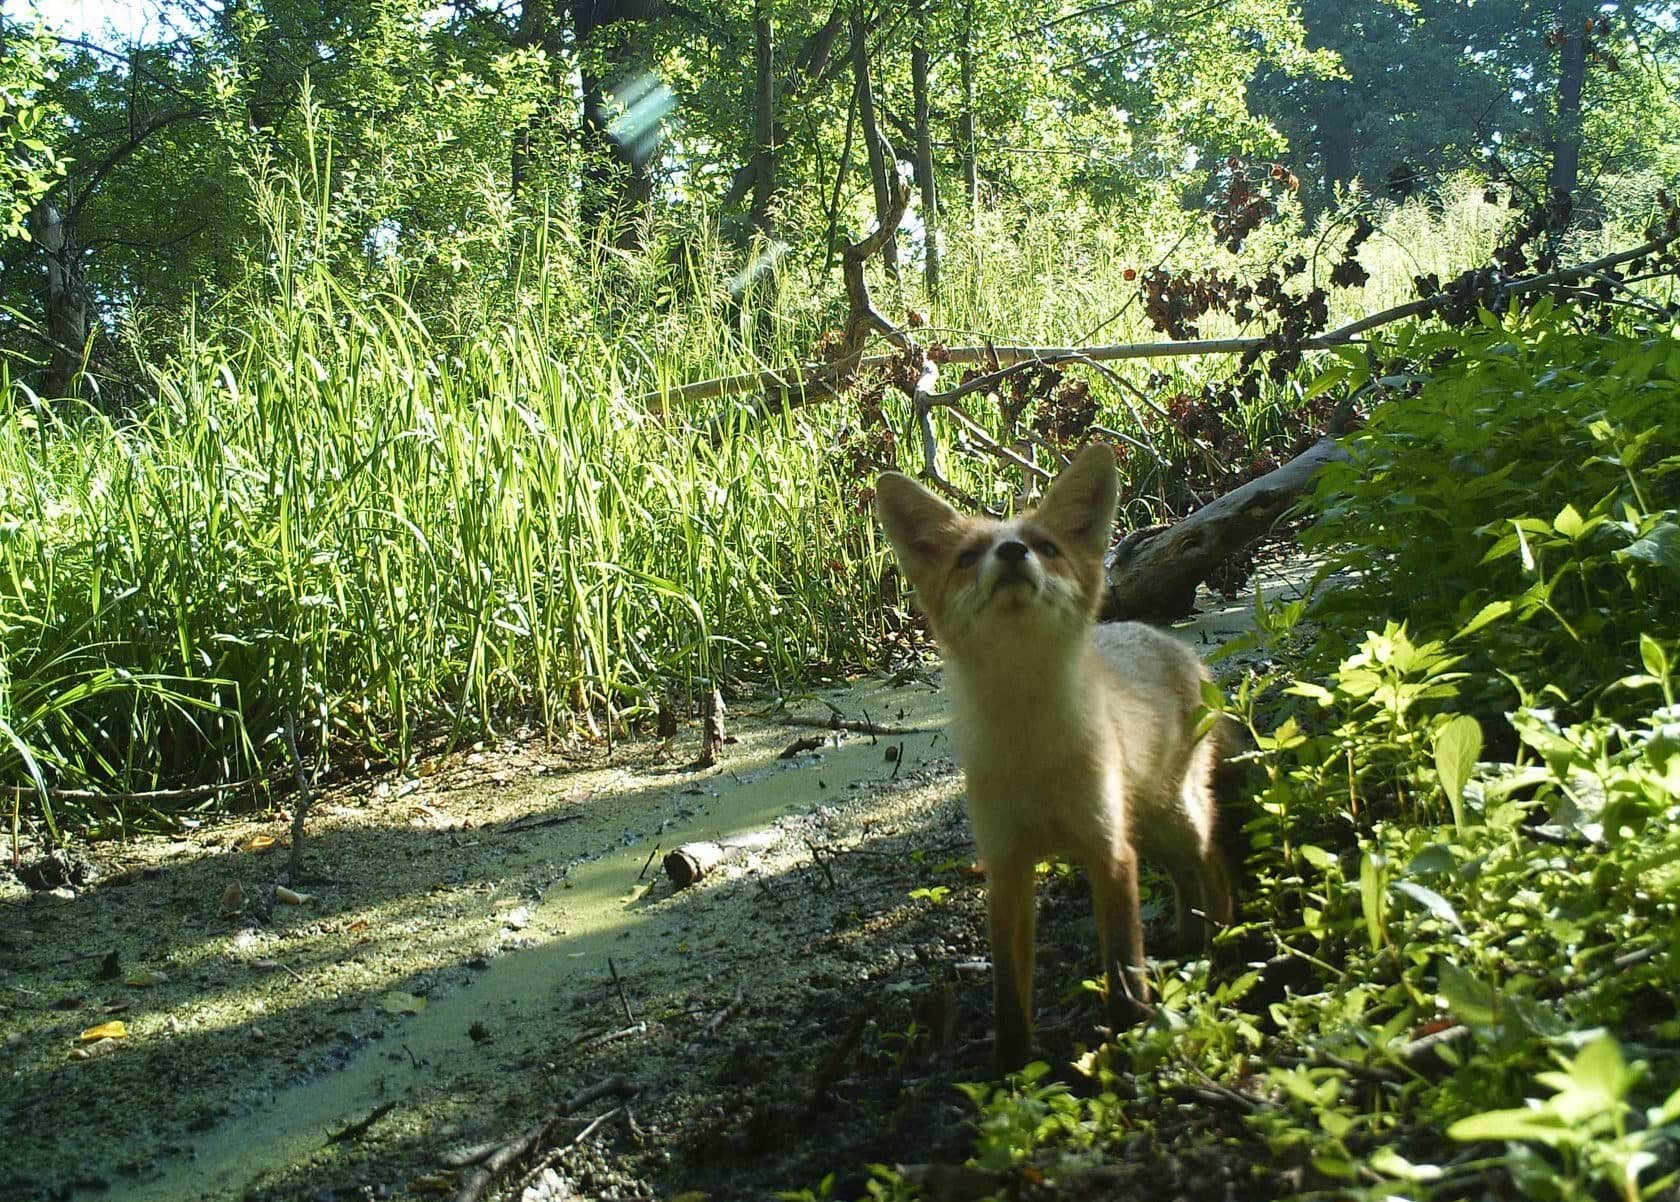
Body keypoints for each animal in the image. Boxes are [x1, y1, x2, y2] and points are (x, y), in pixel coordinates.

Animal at [880, 440, 1236, 1069]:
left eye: (1046, 547)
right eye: (969, 556)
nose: (1014, 551)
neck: (1033, 751)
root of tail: (1177, 646)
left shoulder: (1108, 849)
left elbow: (1124, 973)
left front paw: (1130, 1049)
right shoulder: (1007, 866)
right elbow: (1010, 999)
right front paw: (1012, 1074)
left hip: (1178, 817)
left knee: (1213, 866)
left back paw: (1221, 947)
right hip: (1149, 829)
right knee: (1185, 878)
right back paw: (1188, 946)